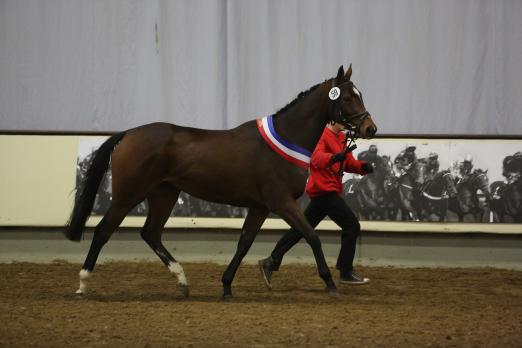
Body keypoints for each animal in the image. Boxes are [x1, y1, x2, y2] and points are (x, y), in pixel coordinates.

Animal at [64, 65, 374, 300]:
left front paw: (226, 286)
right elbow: (311, 235)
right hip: (128, 194)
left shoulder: (260, 207)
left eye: (360, 94)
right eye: (347, 97)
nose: (371, 128)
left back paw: (182, 281)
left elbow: (244, 242)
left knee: (150, 233)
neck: (287, 138)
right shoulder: (281, 202)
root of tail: (128, 133)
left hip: (164, 193)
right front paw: (330, 283)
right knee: (103, 230)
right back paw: (82, 283)